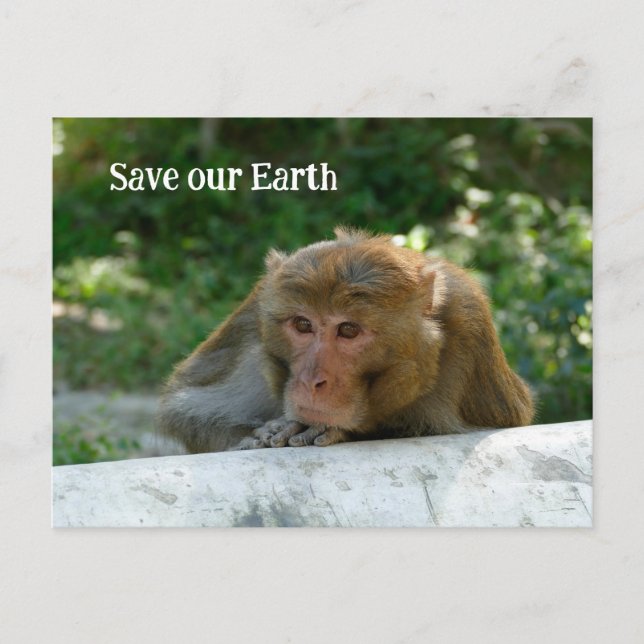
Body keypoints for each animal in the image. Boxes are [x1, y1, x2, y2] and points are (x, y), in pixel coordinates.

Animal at [157, 228, 534, 452]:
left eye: (349, 330)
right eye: (303, 324)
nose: (312, 381)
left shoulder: (468, 320)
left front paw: (342, 430)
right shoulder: (255, 315)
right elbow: (185, 409)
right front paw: (259, 436)